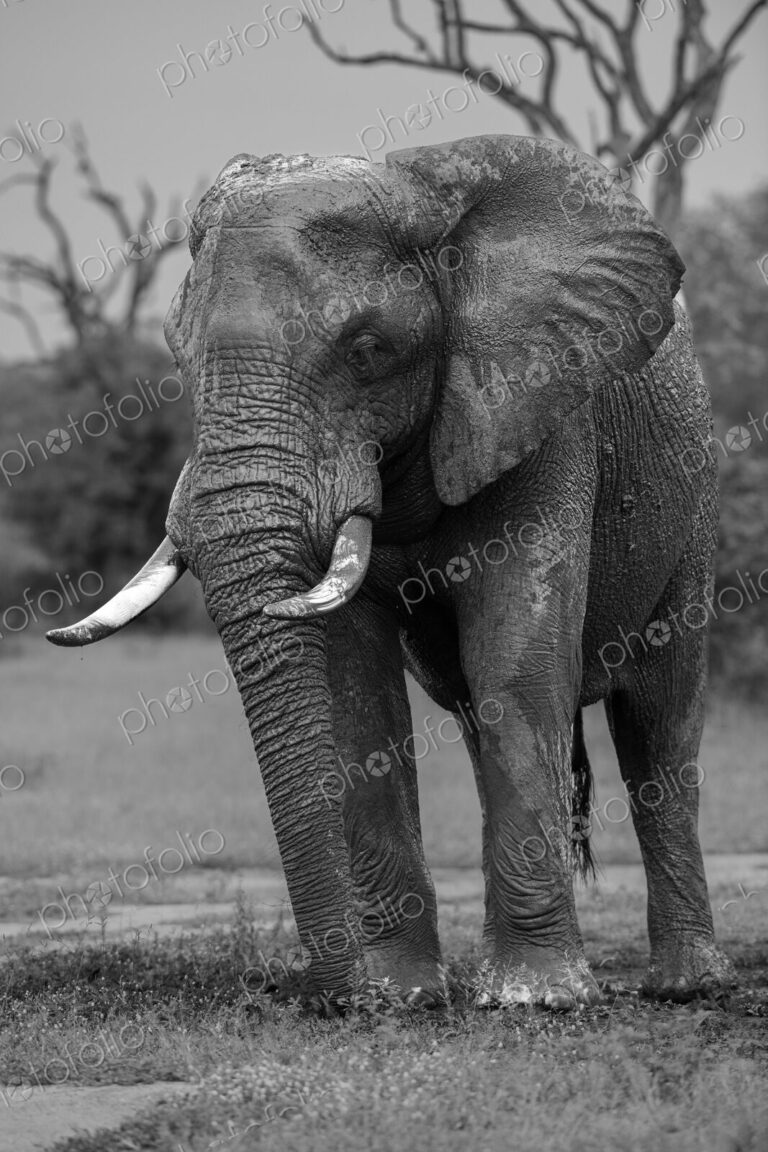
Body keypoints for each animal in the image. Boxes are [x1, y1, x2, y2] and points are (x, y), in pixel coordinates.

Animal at [47, 133, 736, 1009]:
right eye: (181, 356)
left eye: (368, 350)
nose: (332, 998)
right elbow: (356, 694)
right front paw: (404, 996)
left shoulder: (537, 405)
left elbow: (517, 661)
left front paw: (537, 999)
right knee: (482, 724)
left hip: (693, 500)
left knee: (659, 724)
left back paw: (686, 987)